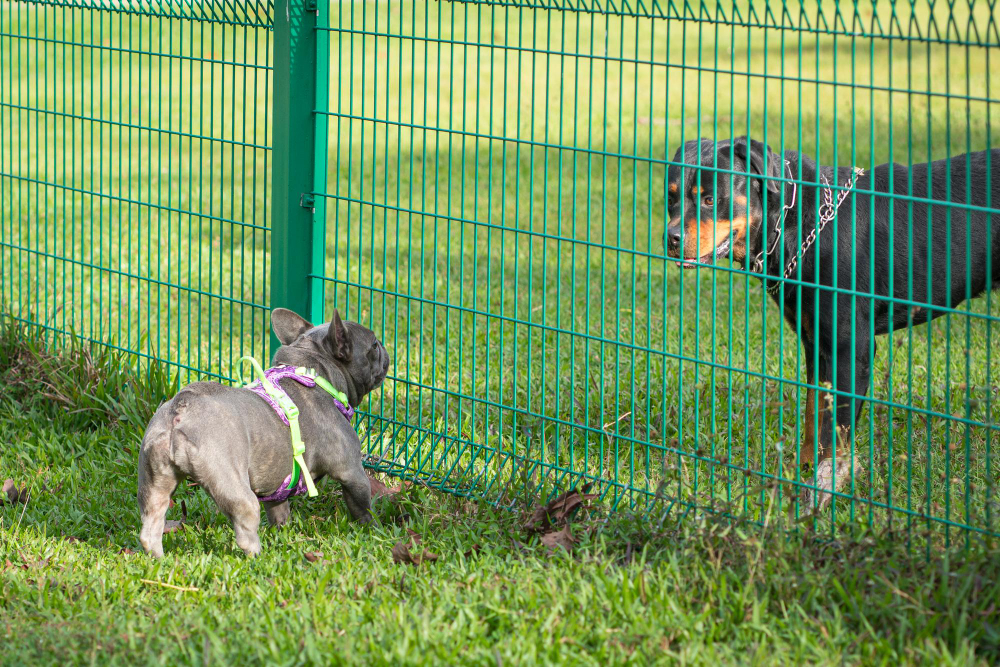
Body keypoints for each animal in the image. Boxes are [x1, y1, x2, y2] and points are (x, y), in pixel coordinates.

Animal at [664, 137, 1000, 506]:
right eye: (671, 199)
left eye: (710, 199)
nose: (672, 238)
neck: (795, 224)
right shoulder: (816, 345)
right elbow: (814, 414)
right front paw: (802, 468)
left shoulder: (850, 350)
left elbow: (835, 430)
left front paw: (824, 487)